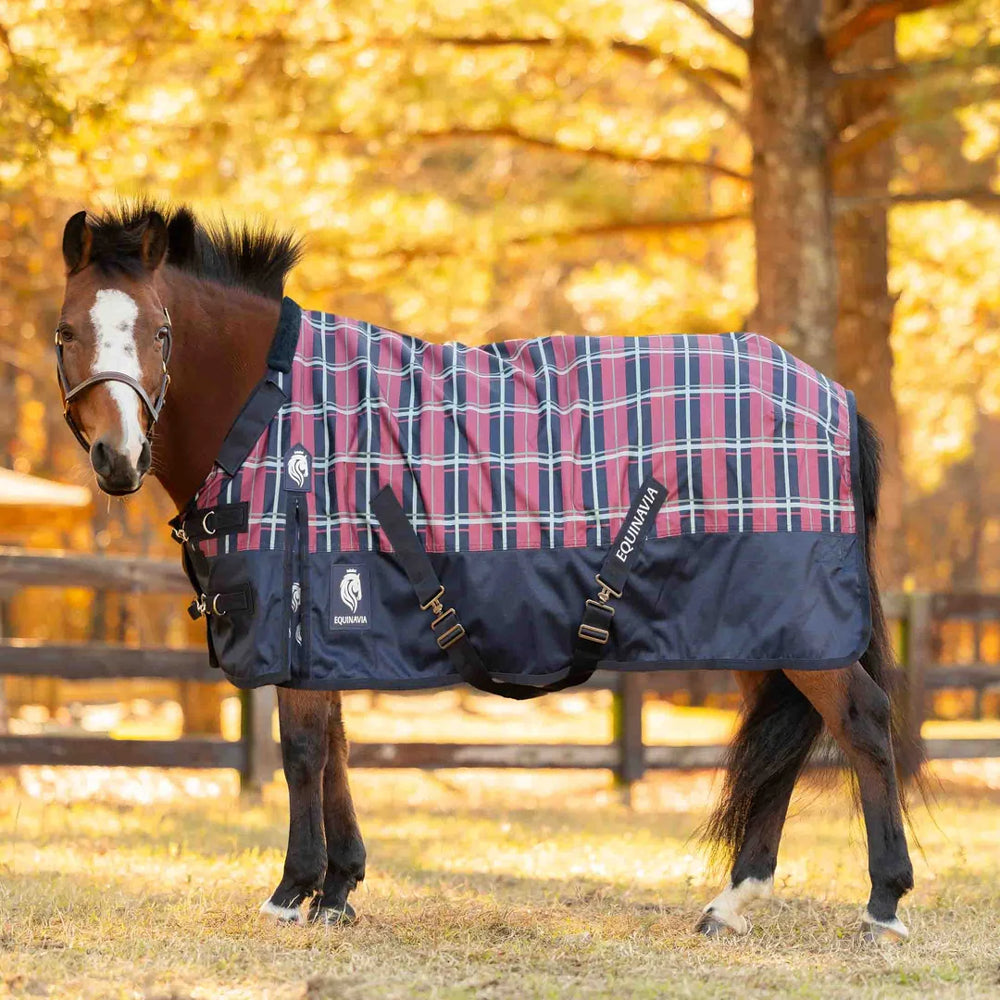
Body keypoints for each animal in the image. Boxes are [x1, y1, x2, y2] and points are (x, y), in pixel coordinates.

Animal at [54, 202, 921, 941]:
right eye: (66, 333)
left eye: (161, 332)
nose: (119, 459)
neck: (273, 406)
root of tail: (832, 396)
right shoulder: (330, 623)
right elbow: (335, 747)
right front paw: (339, 890)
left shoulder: (301, 609)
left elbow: (301, 749)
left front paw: (292, 893)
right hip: (761, 627)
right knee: (785, 746)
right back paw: (732, 903)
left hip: (802, 623)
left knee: (863, 722)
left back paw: (883, 905)